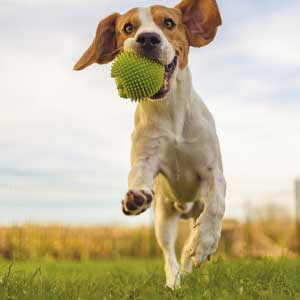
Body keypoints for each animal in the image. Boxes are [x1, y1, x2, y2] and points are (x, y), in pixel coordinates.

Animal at [74, 0, 226, 290]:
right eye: (127, 28)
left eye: (168, 23)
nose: (147, 38)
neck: (170, 111)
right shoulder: (146, 159)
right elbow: (138, 175)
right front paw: (135, 197)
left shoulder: (213, 171)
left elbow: (217, 203)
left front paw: (204, 243)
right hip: (163, 219)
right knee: (169, 254)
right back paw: (174, 281)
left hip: (194, 209)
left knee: (188, 243)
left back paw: (194, 251)